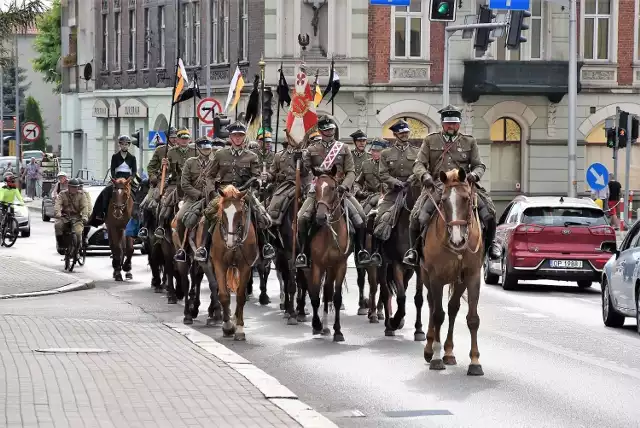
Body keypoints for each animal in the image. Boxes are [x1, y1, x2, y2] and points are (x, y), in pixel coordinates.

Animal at [211, 184, 258, 342]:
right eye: (223, 213)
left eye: (240, 212)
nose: (230, 242)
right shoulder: (219, 265)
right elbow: (224, 295)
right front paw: (227, 326)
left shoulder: (245, 267)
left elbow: (240, 296)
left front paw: (239, 329)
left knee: (239, 292)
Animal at [306, 166, 350, 342]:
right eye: (316, 189)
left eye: (332, 188)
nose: (320, 217)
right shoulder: (317, 265)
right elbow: (314, 296)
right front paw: (316, 325)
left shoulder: (341, 265)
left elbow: (336, 298)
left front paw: (338, 331)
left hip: (331, 268)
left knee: (327, 291)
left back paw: (326, 327)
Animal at [380, 181, 424, 342]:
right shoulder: (396, 264)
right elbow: (400, 297)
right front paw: (394, 321)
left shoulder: (419, 268)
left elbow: (418, 299)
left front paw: (419, 330)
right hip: (383, 265)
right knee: (385, 292)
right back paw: (389, 325)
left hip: (409, 270)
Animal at [420, 169, 484, 376]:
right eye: (443, 200)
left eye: (466, 199)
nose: (458, 240)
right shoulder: (435, 277)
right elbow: (438, 315)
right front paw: (436, 357)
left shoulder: (472, 276)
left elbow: (472, 319)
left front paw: (475, 362)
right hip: (425, 276)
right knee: (433, 305)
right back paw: (430, 349)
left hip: (459, 281)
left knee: (452, 307)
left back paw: (449, 352)